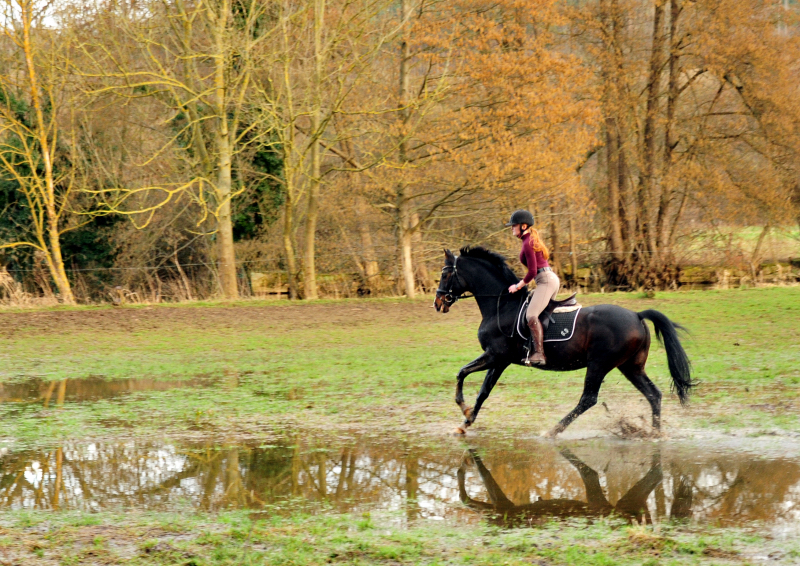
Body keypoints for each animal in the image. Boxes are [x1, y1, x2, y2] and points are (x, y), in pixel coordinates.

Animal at [432, 246, 692, 438]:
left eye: (445, 274)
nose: (438, 303)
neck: (501, 305)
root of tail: (637, 315)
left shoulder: (496, 356)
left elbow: (462, 373)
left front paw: (463, 409)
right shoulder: (499, 361)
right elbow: (483, 391)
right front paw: (465, 422)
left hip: (599, 365)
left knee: (588, 399)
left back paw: (553, 430)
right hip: (630, 366)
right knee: (653, 394)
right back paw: (655, 433)